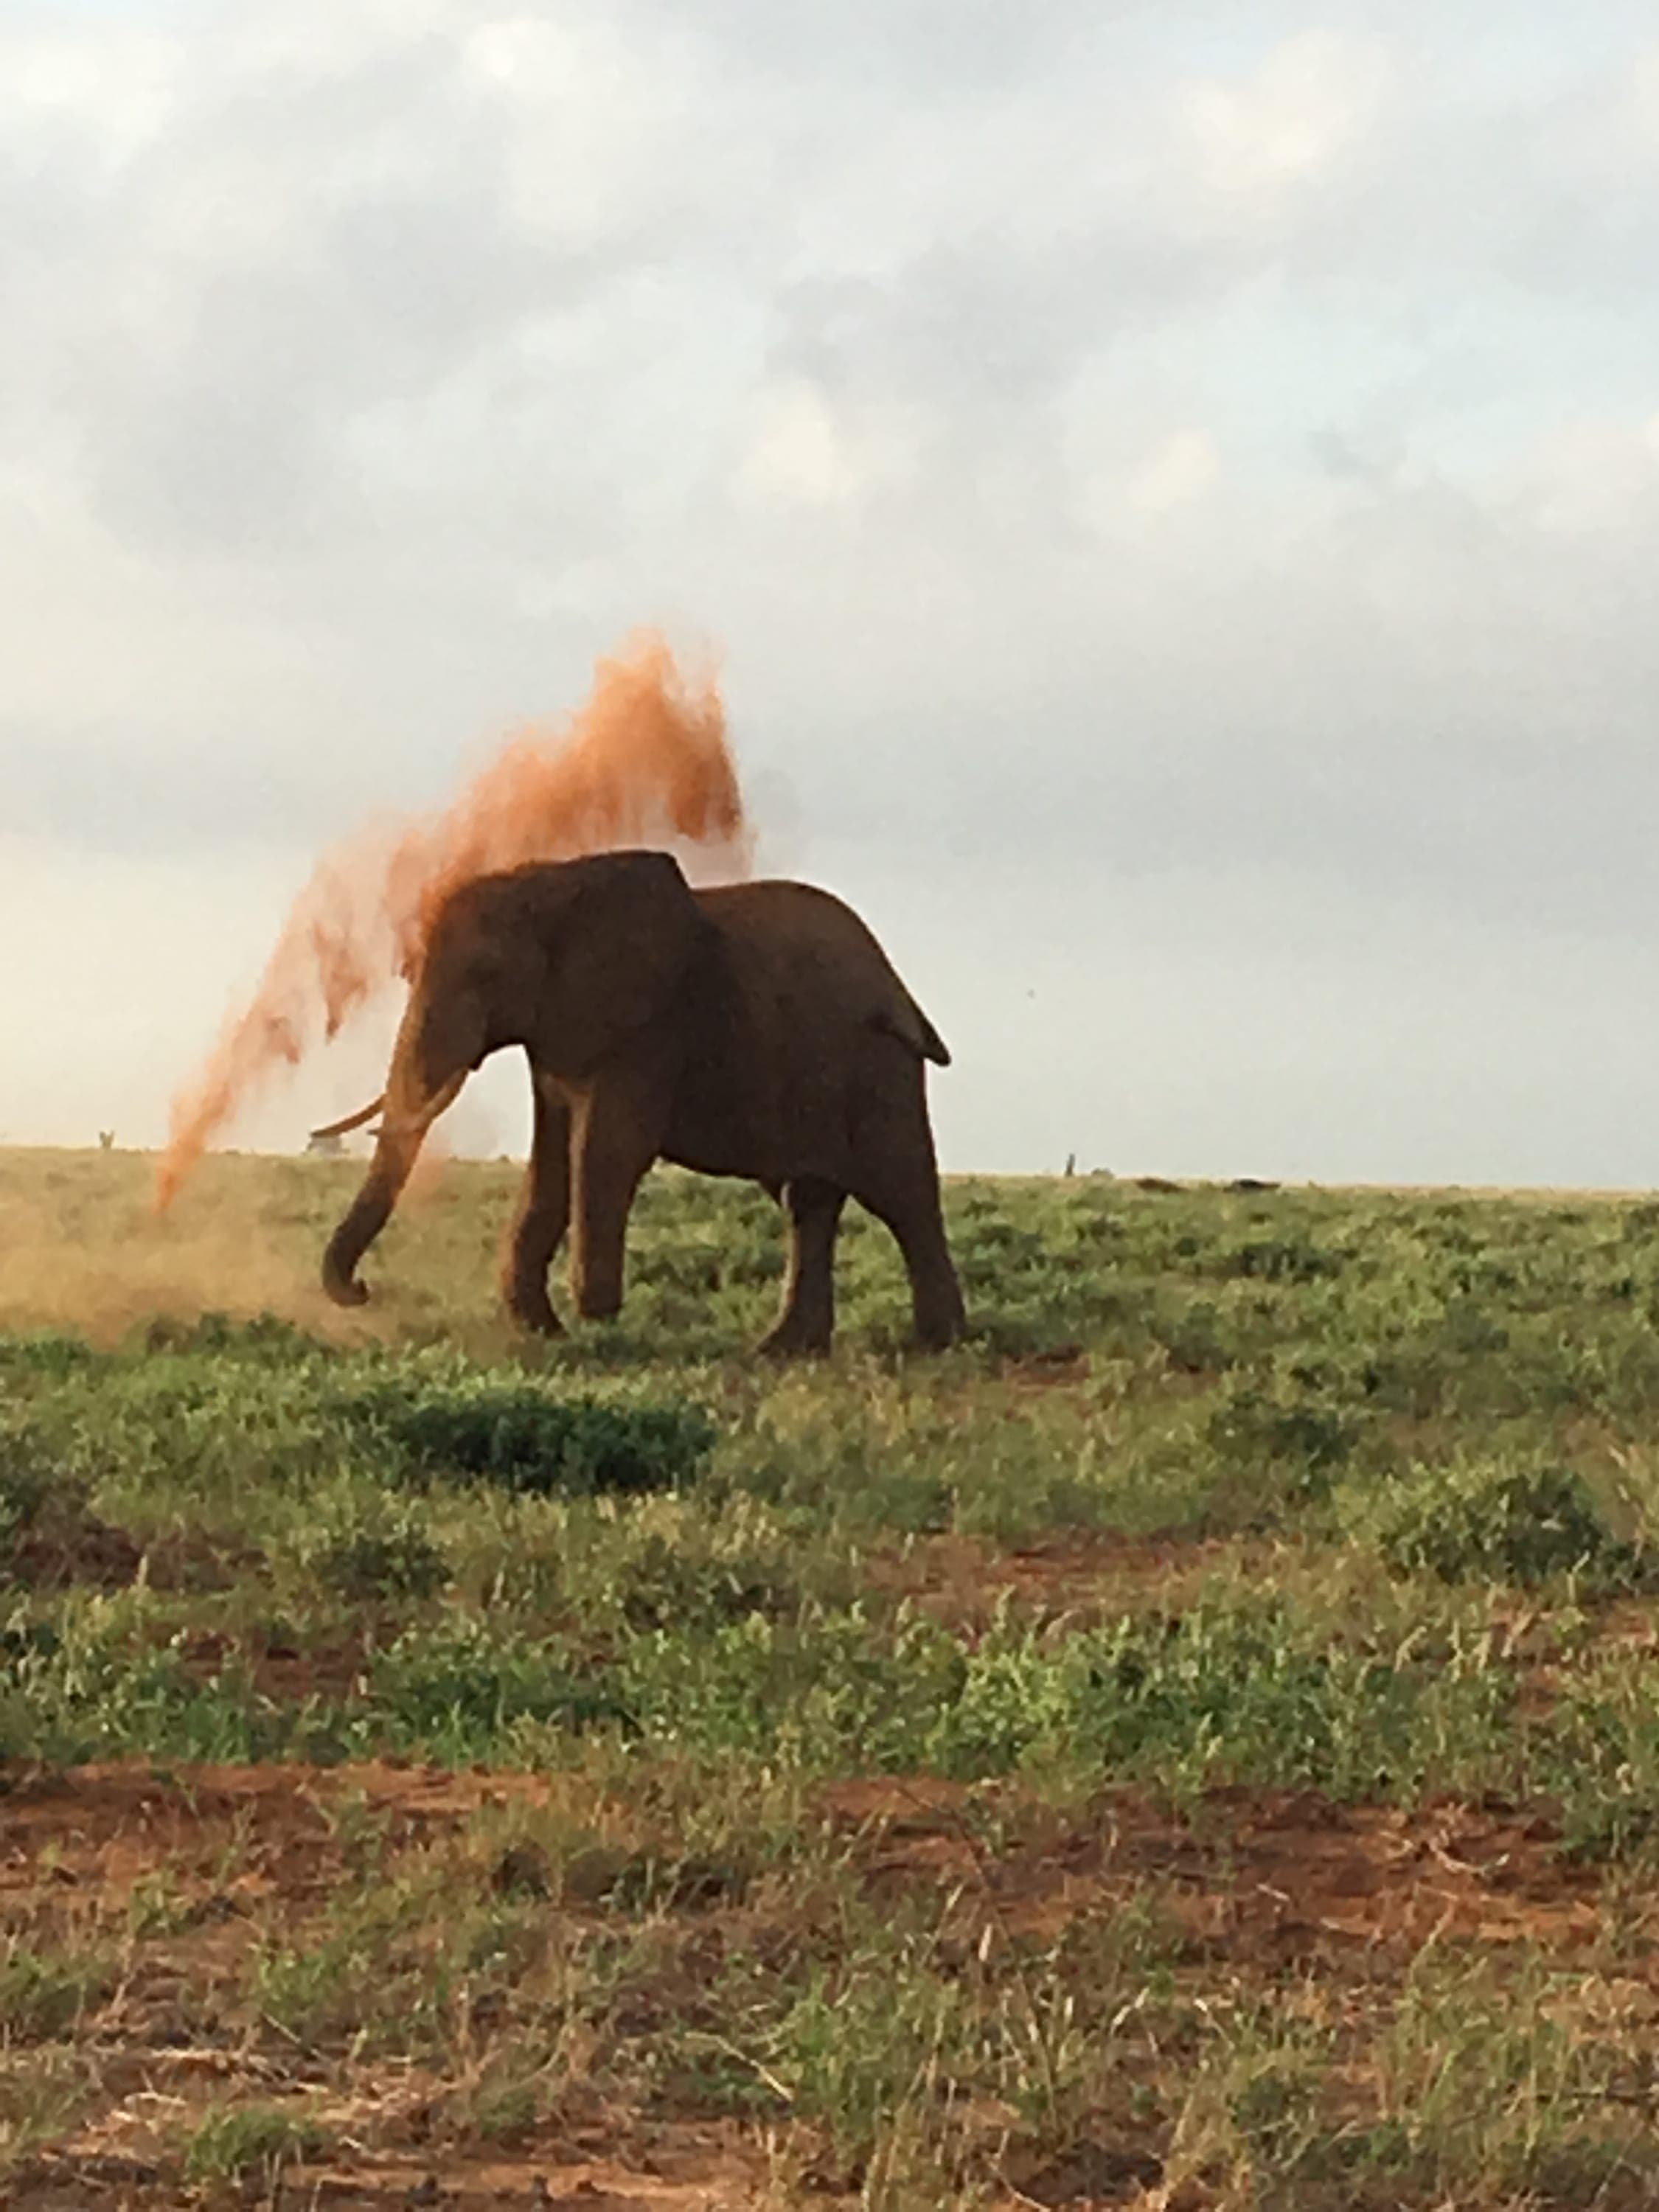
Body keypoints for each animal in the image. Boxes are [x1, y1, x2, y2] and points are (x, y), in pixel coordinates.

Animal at [316, 849, 967, 1354]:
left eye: (485, 972)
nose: (361, 1291)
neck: (546, 882)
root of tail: (899, 987)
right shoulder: (558, 1039)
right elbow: (552, 1162)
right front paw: (545, 1331)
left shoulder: (647, 1032)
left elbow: (606, 1152)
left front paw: (595, 1317)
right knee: (808, 1202)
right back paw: (783, 1351)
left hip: (879, 1069)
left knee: (902, 1195)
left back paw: (937, 1346)